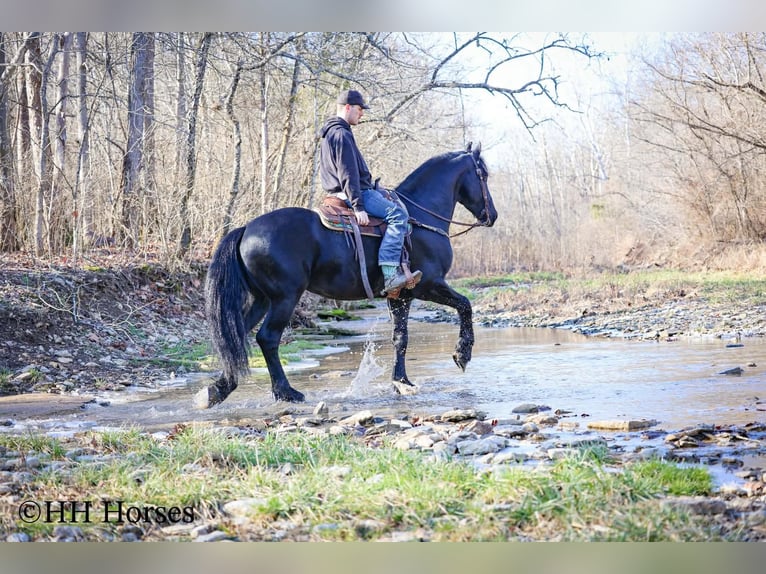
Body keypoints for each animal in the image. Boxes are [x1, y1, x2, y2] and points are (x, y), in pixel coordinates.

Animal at [197, 142, 497, 408]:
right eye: (482, 174)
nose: (492, 215)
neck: (419, 217)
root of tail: (246, 229)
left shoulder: (401, 296)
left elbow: (400, 338)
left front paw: (402, 382)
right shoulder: (429, 285)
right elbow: (465, 305)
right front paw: (462, 354)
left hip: (262, 299)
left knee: (238, 337)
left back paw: (216, 390)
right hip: (285, 298)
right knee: (267, 338)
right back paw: (286, 392)